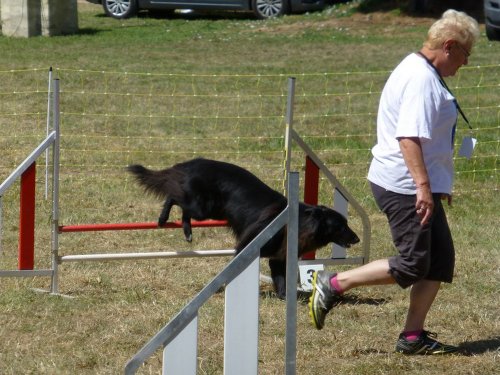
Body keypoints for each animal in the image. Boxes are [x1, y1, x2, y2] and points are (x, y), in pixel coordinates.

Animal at [128, 157, 360, 298]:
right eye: (341, 226)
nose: (357, 239)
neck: (296, 222)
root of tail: (191, 163)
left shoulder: (278, 257)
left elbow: (281, 280)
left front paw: (287, 297)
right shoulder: (247, 246)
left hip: (211, 211)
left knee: (184, 209)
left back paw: (187, 232)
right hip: (204, 208)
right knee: (173, 197)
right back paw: (163, 218)